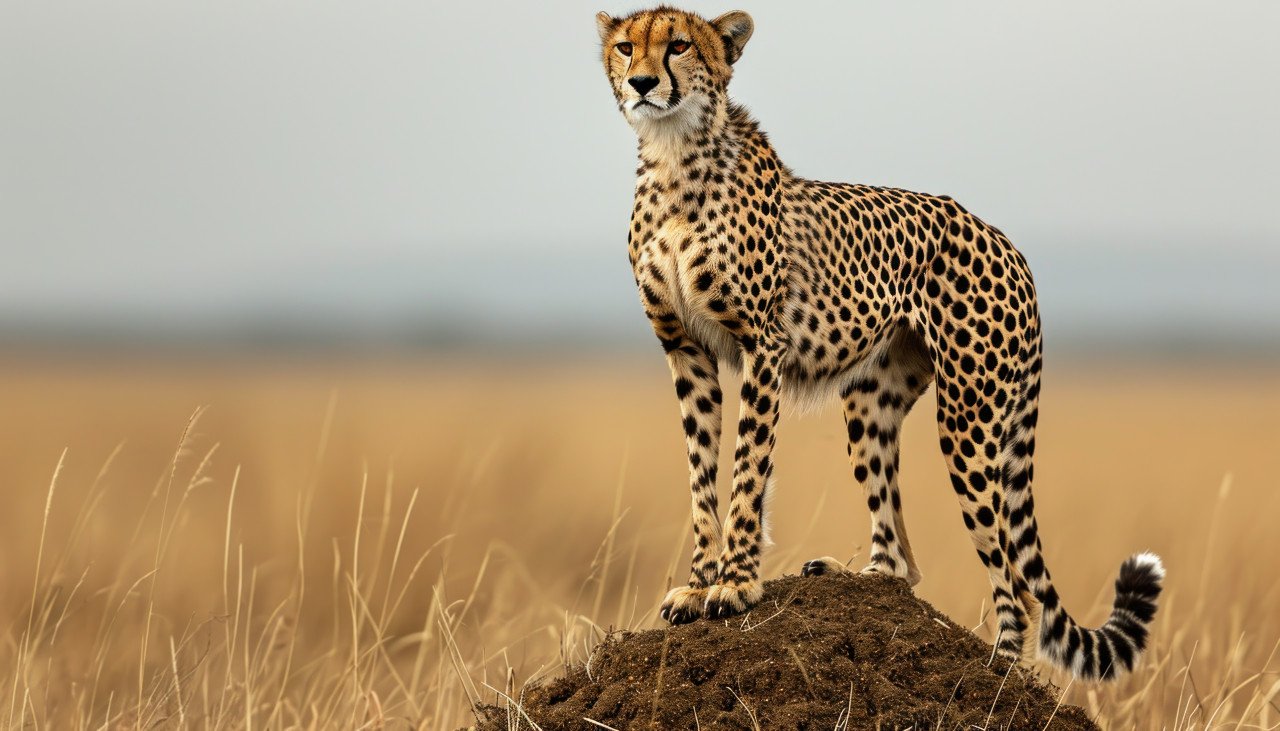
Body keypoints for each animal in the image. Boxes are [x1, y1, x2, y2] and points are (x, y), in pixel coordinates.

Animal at [596, 6, 1163, 679]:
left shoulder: (763, 346)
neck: (675, 155)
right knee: (903, 563)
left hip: (969, 417)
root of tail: (1005, 239)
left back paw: (998, 670)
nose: (643, 83)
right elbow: (700, 474)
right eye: (626, 47)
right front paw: (700, 581)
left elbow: (746, 470)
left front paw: (734, 584)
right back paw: (861, 576)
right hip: (871, 401)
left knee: (1017, 584)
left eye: (679, 45)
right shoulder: (686, 351)